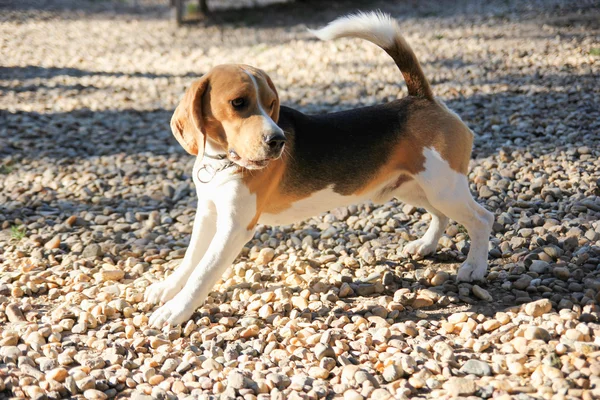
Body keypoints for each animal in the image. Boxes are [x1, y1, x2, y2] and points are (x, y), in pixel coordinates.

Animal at [144, 12, 492, 326]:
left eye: (271, 104)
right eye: (238, 102)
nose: (278, 141)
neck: (222, 162)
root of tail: (422, 99)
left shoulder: (234, 227)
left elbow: (202, 273)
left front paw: (175, 311)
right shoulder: (209, 211)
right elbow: (191, 259)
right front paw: (167, 288)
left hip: (443, 187)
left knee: (482, 218)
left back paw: (474, 267)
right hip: (414, 188)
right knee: (441, 216)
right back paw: (426, 245)